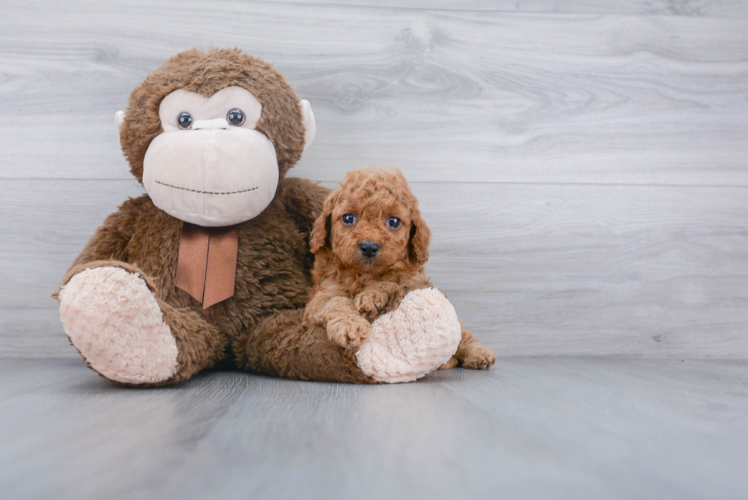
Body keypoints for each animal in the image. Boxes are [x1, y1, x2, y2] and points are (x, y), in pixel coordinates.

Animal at [304, 166, 496, 370]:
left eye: (394, 221)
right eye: (348, 218)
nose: (369, 247)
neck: (366, 275)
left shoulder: (414, 280)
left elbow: (392, 282)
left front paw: (371, 296)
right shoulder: (319, 299)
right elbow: (335, 302)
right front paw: (351, 327)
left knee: (463, 336)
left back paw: (479, 354)